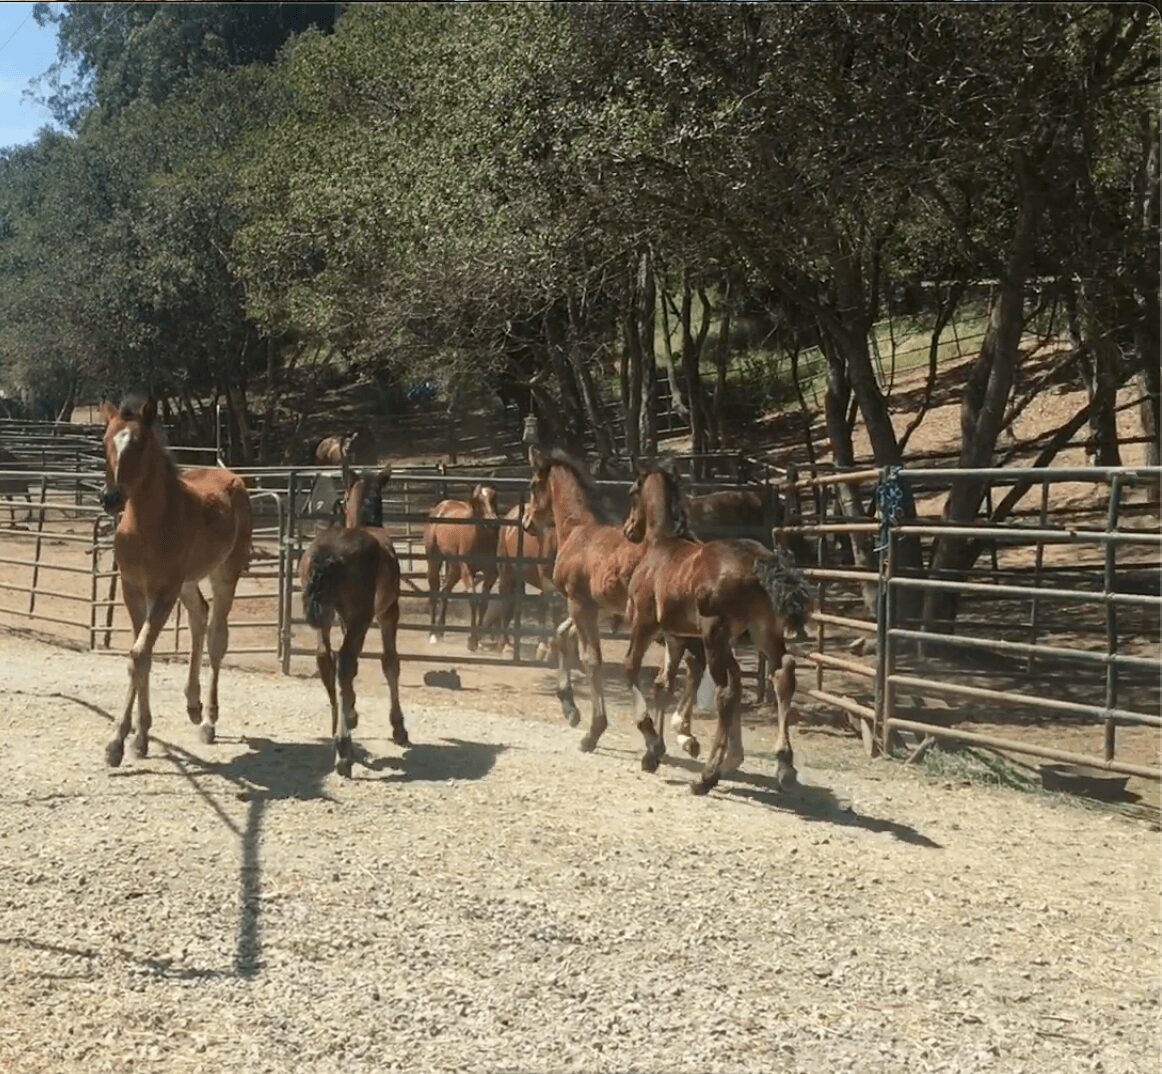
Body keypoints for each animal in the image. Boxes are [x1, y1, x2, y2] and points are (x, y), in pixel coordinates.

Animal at [98, 398, 252, 766]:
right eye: (105, 441)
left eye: (139, 443)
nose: (110, 498)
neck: (146, 525)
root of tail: (231, 475)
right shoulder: (132, 589)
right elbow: (142, 656)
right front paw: (140, 738)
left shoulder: (163, 592)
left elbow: (139, 654)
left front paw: (118, 742)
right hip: (187, 581)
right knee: (199, 616)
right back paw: (193, 705)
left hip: (224, 573)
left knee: (216, 635)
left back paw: (208, 720)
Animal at [299, 462, 408, 777]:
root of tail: (327, 555)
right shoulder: (387, 612)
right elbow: (390, 662)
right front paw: (398, 727)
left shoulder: (343, 619)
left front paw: (353, 712)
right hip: (363, 616)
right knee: (345, 662)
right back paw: (344, 749)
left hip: (326, 617)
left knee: (326, 659)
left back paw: (337, 731)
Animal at [424, 482, 501, 650]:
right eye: (477, 500)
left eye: (494, 497)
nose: (492, 521)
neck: (480, 539)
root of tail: (441, 507)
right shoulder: (467, 569)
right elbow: (473, 600)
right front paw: (471, 641)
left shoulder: (491, 573)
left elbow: (484, 604)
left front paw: (478, 638)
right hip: (435, 561)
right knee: (434, 592)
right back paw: (432, 634)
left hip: (454, 567)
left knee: (445, 591)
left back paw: (440, 632)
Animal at [622, 462, 811, 794]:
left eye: (633, 492)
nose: (628, 529)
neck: (662, 546)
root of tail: (760, 561)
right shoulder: (676, 636)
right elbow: (663, 683)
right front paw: (659, 750)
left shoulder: (644, 624)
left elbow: (632, 668)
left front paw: (652, 739)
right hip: (763, 632)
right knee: (781, 673)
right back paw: (783, 766)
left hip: (716, 635)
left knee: (727, 690)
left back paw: (707, 776)